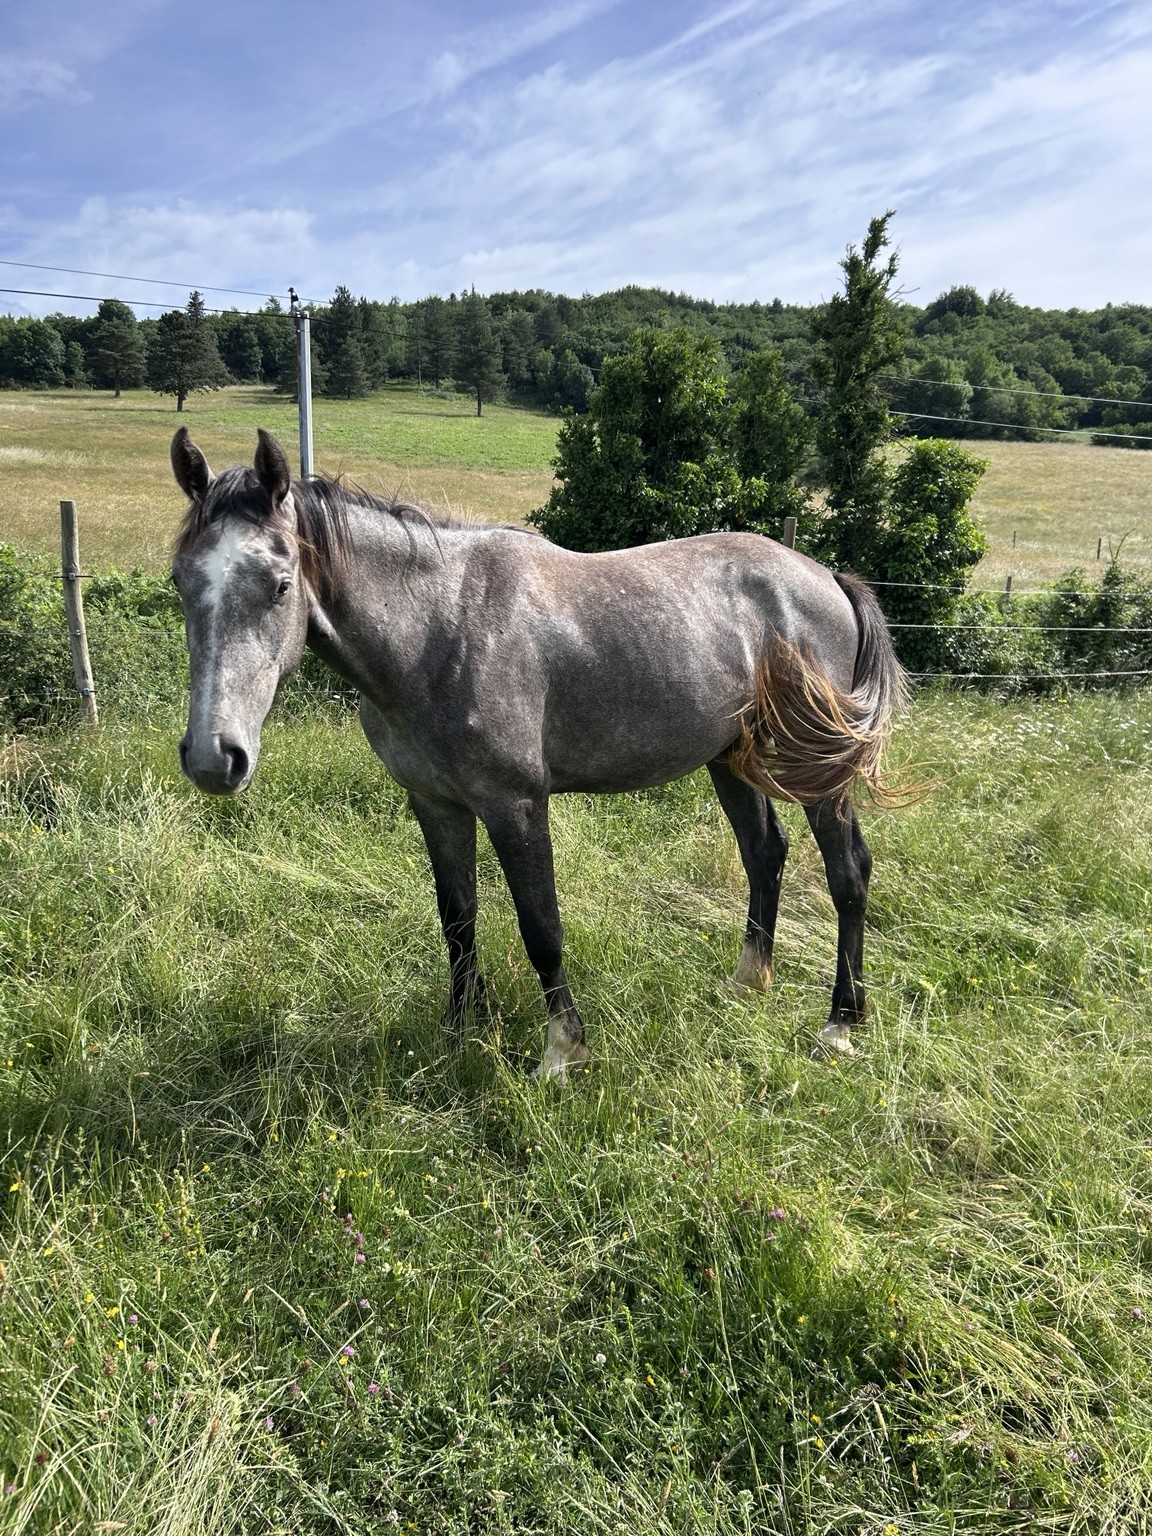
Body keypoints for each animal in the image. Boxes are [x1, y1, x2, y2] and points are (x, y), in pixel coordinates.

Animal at [169, 427, 908, 1080]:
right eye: (181, 582)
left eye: (280, 583)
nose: (214, 758)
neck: (438, 630)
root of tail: (824, 578)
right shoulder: (435, 804)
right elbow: (457, 919)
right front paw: (460, 1033)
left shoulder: (516, 806)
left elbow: (540, 927)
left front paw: (562, 1051)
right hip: (728, 756)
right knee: (764, 855)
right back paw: (746, 985)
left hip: (818, 766)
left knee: (848, 871)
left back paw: (839, 1024)